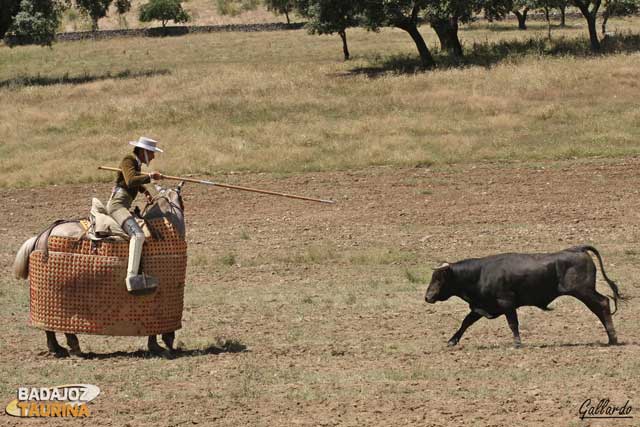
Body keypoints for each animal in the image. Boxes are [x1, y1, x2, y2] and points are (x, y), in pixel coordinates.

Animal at [13, 183, 186, 358]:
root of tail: (43, 235)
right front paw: (164, 345)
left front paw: (157, 345)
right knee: (57, 325)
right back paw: (72, 347)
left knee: (49, 325)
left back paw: (57, 348)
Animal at [424, 247, 624, 348]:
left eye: (439, 279)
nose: (427, 297)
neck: (480, 273)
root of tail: (577, 249)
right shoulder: (483, 306)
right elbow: (466, 322)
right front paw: (452, 340)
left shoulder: (506, 303)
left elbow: (513, 323)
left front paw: (517, 343)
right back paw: (610, 338)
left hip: (583, 291)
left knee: (603, 304)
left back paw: (613, 339)